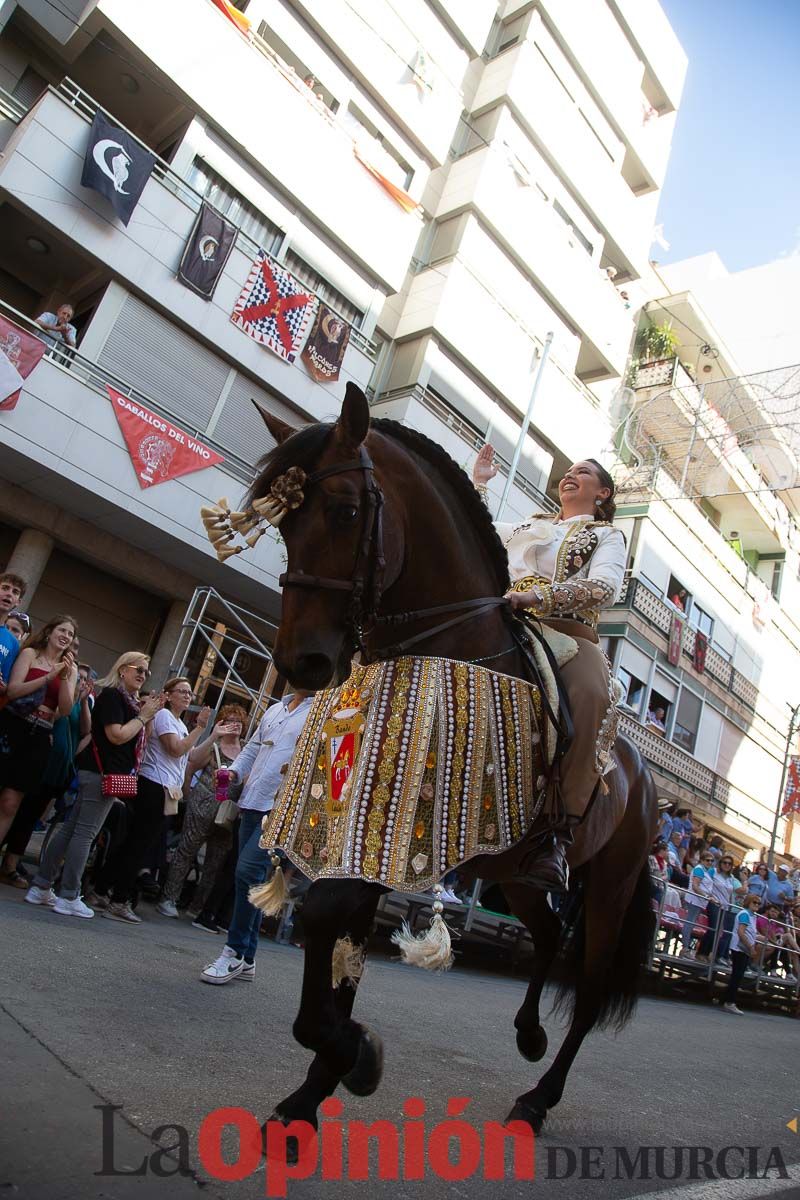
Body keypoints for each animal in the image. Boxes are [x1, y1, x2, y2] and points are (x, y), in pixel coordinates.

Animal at [250, 386, 657, 1142]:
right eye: (282, 522)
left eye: (345, 510)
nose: (302, 663)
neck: (446, 641)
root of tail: (646, 785)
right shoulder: (368, 835)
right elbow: (333, 934)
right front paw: (316, 1087)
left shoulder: (401, 826)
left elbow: (324, 922)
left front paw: (354, 1059)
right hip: (518, 872)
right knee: (547, 933)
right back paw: (527, 1033)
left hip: (610, 888)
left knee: (587, 993)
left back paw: (537, 1098)